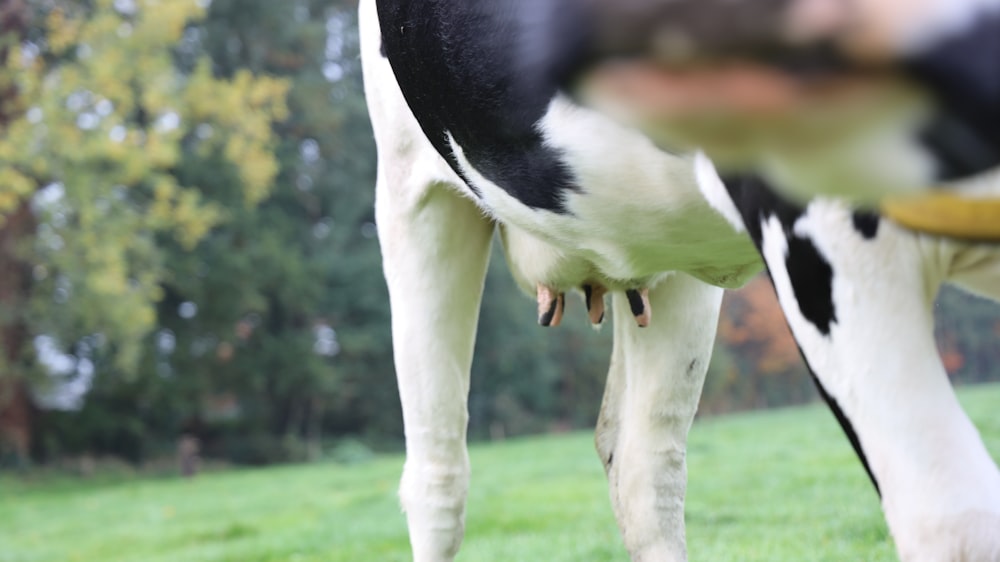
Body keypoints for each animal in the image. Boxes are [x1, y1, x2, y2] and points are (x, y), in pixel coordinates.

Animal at [360, 1, 1000, 560]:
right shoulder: (823, 232)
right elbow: (953, 520)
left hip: (675, 240)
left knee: (643, 467)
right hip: (413, 193)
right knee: (437, 477)